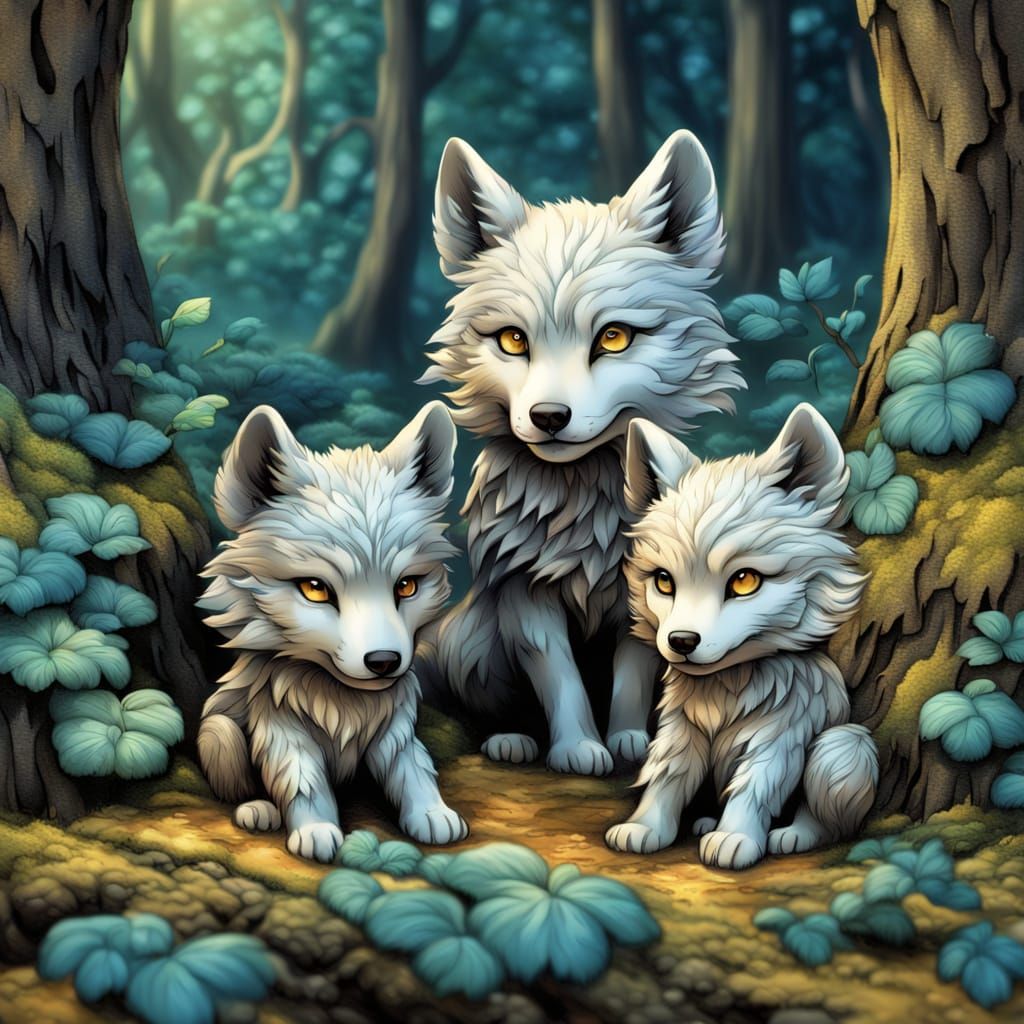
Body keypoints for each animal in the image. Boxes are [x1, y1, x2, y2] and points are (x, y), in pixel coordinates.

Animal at [196, 401, 468, 863]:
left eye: (406, 586)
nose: (384, 662)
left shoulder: (395, 727)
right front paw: (316, 830)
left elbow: (412, 769)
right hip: (220, 732)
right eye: (315, 588)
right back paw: (257, 808)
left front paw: (432, 813)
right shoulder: (278, 724)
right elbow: (302, 779)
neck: (343, 701)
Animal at [420, 130, 745, 775]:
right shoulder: (523, 590)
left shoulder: (642, 597)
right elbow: (558, 675)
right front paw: (576, 747)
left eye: (613, 337)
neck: (581, 512)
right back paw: (513, 739)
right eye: (512, 340)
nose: (548, 418)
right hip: (474, 643)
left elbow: (634, 673)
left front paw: (628, 740)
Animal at [604, 403, 878, 868]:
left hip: (843, 747)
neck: (725, 688)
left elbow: (755, 785)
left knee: (828, 820)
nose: (681, 642)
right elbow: (665, 777)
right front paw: (645, 828)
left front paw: (735, 838)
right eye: (663, 581)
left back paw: (793, 835)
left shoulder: (782, 734)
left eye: (745, 581)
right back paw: (704, 822)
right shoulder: (680, 730)